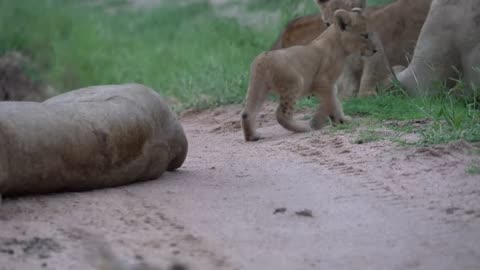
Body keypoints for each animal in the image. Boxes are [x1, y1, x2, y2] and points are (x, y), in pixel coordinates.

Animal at [242, 7, 376, 141]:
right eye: (365, 35)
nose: (375, 50)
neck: (339, 46)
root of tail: (263, 58)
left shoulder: (330, 84)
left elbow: (334, 101)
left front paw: (341, 119)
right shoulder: (323, 82)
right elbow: (332, 103)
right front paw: (338, 122)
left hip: (259, 88)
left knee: (247, 112)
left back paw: (252, 136)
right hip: (295, 83)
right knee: (281, 114)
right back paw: (303, 128)